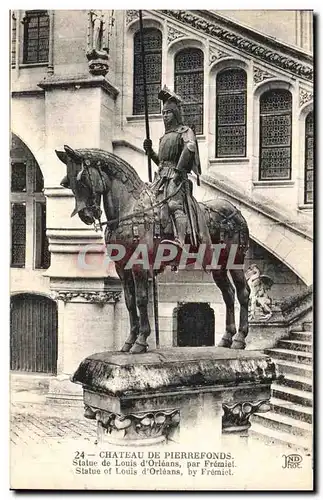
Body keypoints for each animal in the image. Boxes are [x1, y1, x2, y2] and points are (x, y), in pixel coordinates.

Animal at [57, 145, 252, 354]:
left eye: (82, 178)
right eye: (68, 182)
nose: (86, 215)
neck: (129, 208)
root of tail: (236, 211)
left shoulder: (139, 265)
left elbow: (141, 299)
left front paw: (141, 341)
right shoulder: (122, 268)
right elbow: (129, 301)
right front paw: (129, 341)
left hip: (235, 261)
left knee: (243, 293)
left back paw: (240, 338)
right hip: (218, 266)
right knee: (228, 294)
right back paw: (227, 338)